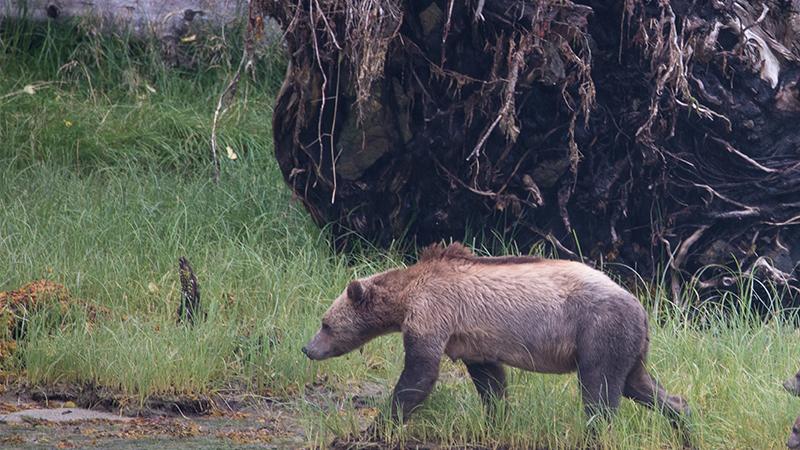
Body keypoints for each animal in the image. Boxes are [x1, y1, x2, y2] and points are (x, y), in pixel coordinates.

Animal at [302, 242, 690, 436]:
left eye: (325, 324)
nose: (307, 348)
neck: (405, 296)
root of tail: (643, 310)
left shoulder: (433, 313)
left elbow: (419, 374)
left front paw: (367, 431)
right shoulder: (473, 339)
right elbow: (491, 382)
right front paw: (495, 421)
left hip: (598, 330)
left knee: (599, 392)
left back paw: (594, 434)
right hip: (629, 347)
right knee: (640, 386)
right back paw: (684, 424)